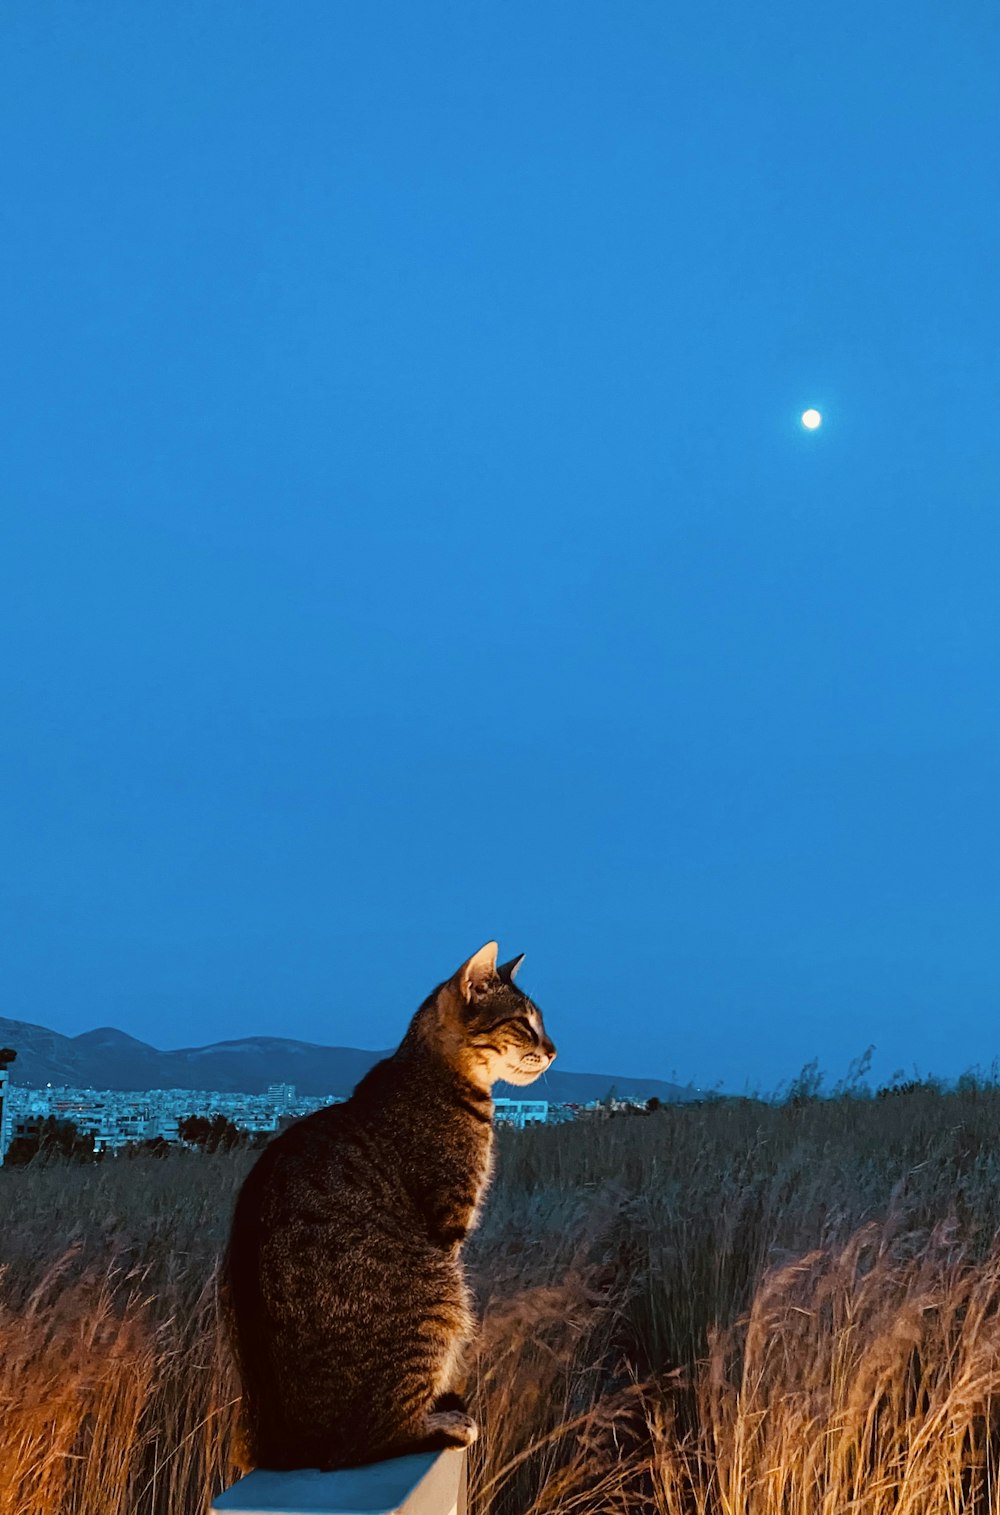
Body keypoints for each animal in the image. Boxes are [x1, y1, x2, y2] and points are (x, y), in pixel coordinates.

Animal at [219, 939, 557, 1472]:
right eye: (525, 1023)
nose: (554, 1049)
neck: (434, 1071)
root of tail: (286, 1447)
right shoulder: (448, 1223)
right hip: (439, 1292)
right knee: (366, 1443)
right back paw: (441, 1423)